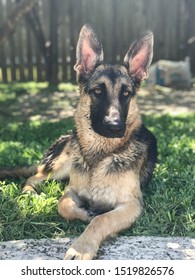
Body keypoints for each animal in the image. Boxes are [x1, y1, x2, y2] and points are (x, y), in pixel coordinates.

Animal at [0, 25, 157, 260]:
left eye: (126, 94)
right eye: (98, 91)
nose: (114, 126)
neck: (99, 156)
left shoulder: (131, 205)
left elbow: (102, 218)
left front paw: (81, 247)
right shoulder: (71, 189)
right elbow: (62, 204)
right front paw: (84, 214)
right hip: (61, 167)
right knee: (33, 177)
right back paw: (29, 193)